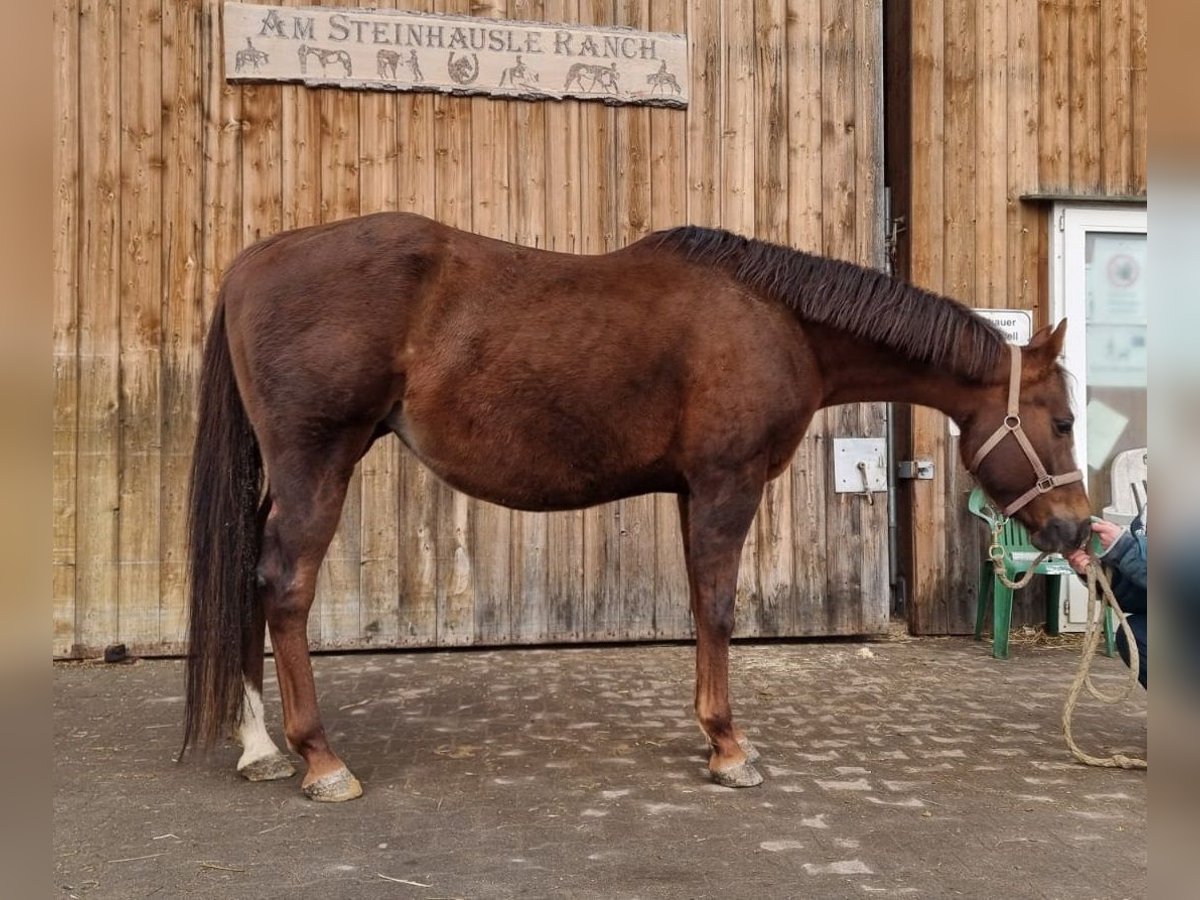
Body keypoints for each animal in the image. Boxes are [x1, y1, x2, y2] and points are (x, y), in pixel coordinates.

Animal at [182, 213, 1094, 801]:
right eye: (1061, 420)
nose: (1078, 527)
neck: (777, 320)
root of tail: (253, 262)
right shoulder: (728, 484)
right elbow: (719, 608)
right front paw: (729, 749)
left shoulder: (696, 492)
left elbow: (699, 607)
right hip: (318, 462)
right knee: (285, 587)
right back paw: (319, 760)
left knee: (248, 581)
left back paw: (260, 747)